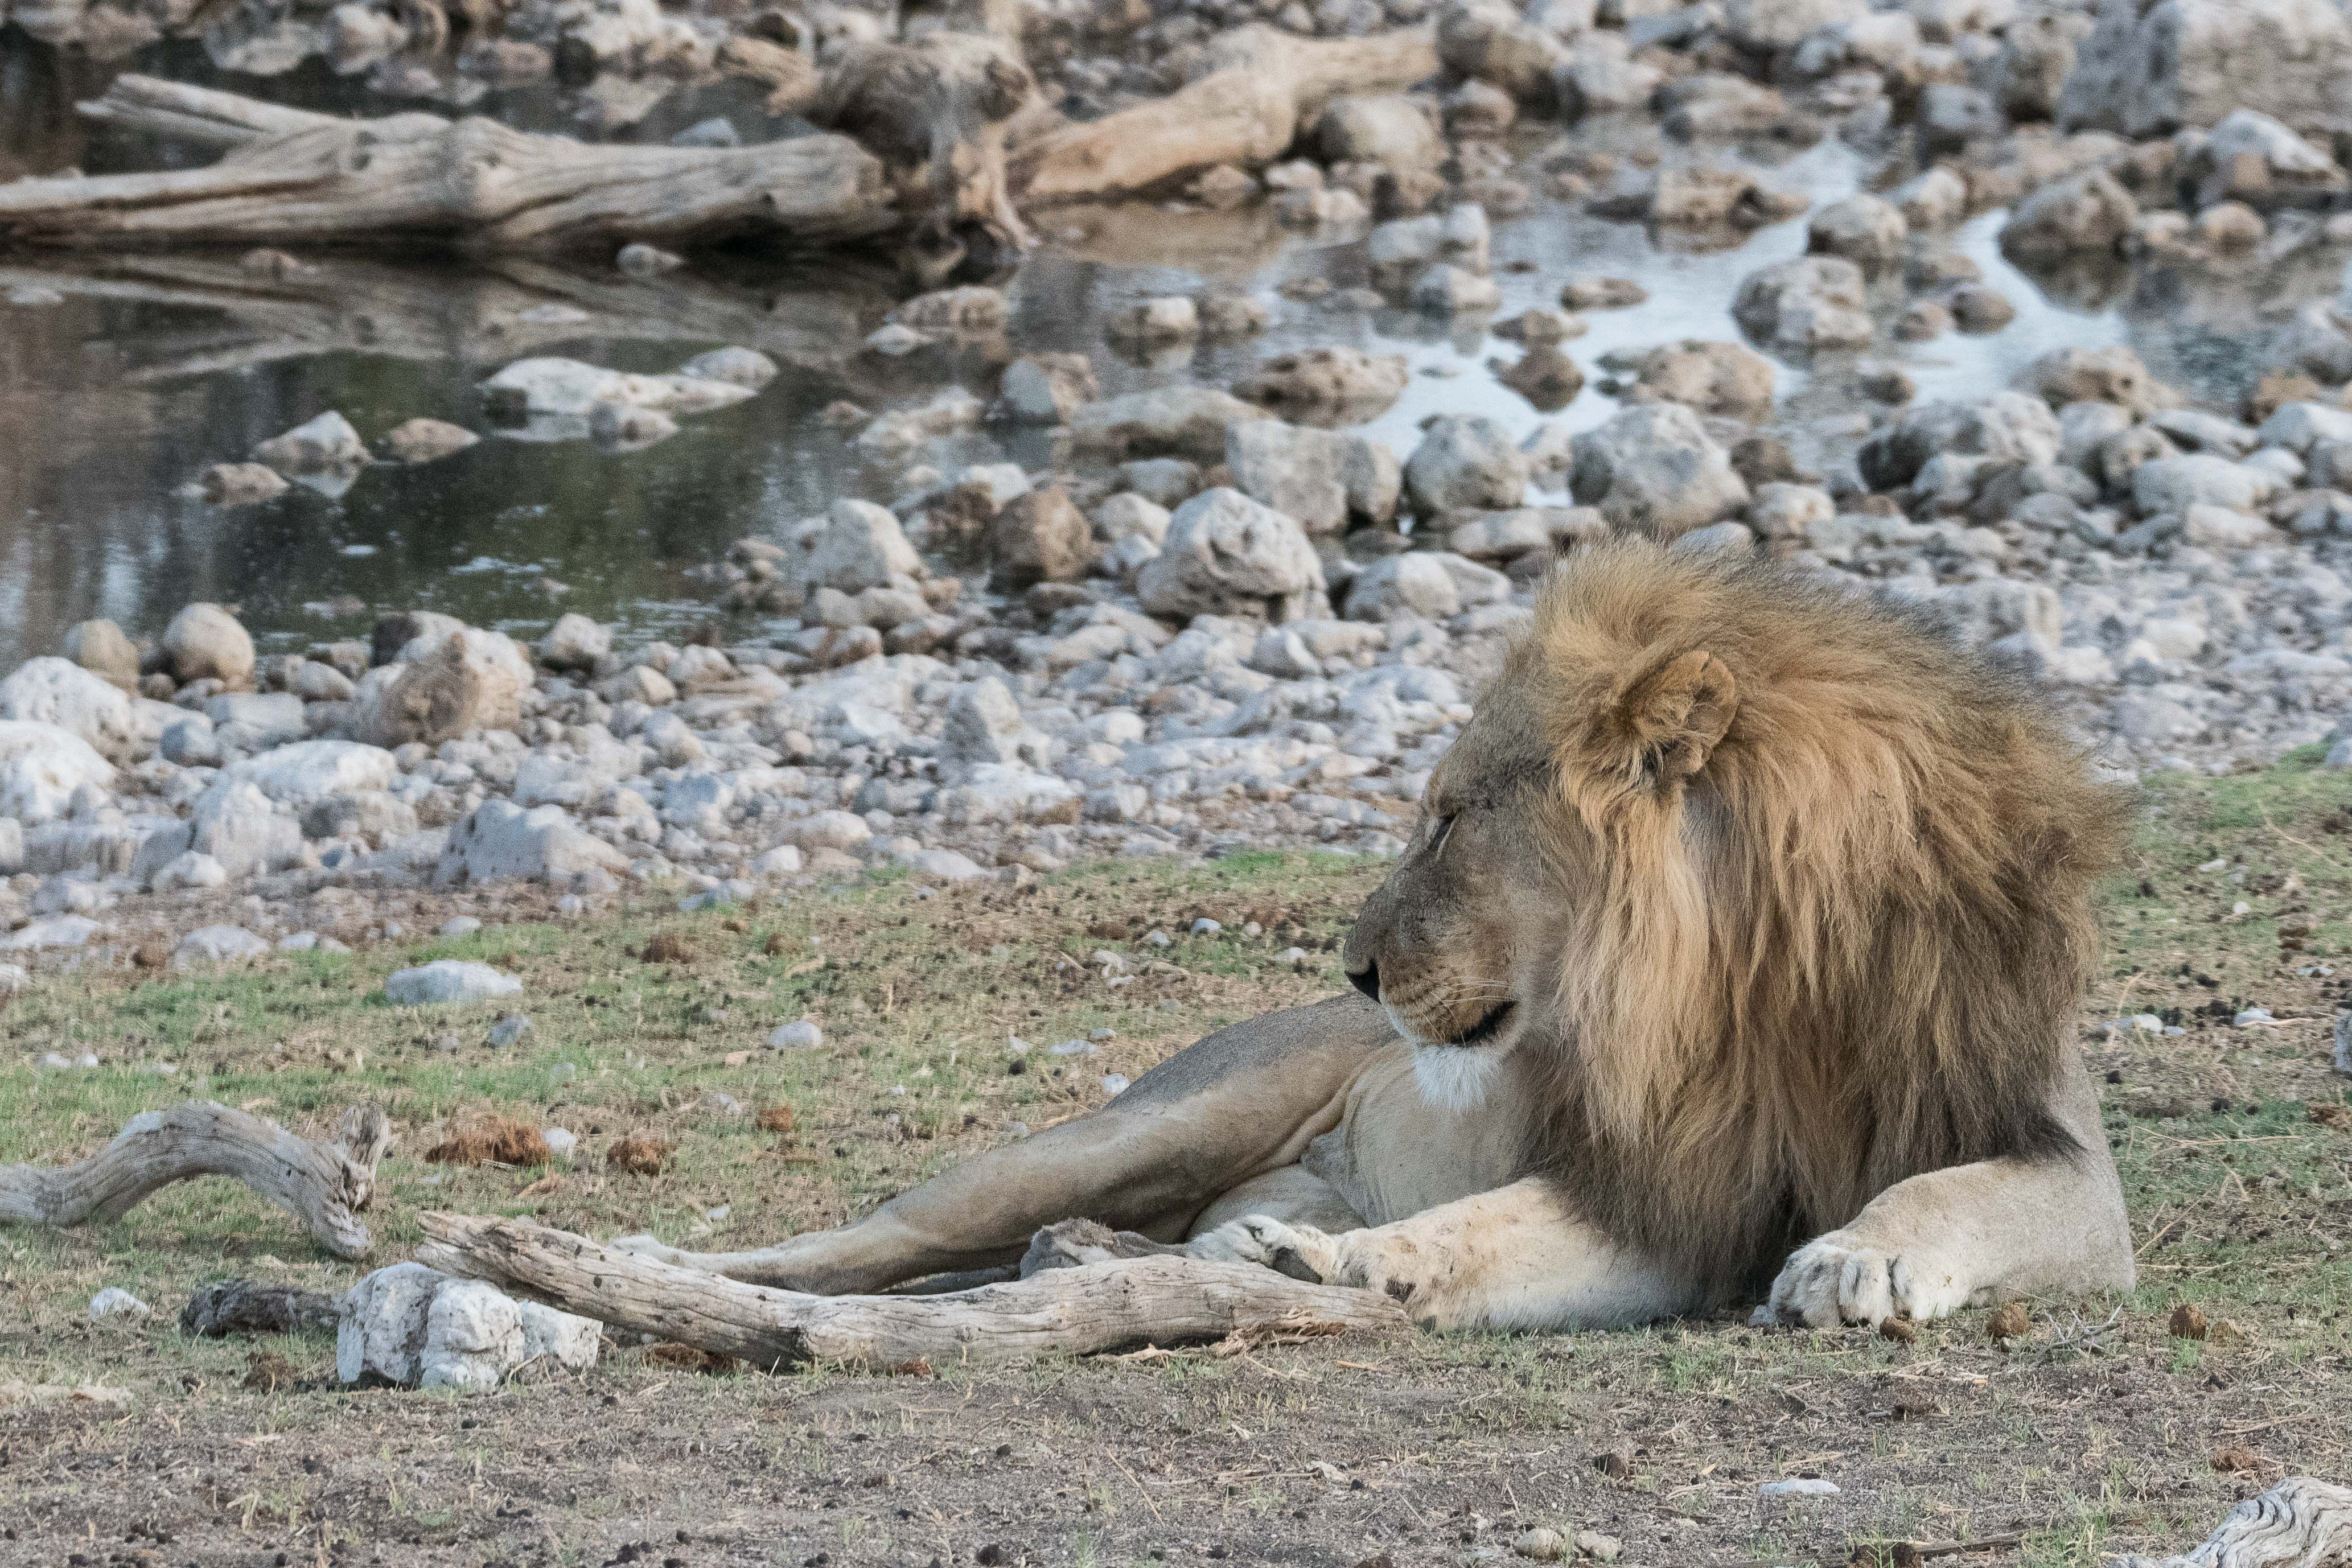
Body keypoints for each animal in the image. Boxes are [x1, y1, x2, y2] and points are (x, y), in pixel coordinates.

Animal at [620, 543, 2135, 1335]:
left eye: (1450, 819)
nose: (1348, 970)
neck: (1760, 978)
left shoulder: (2049, 1161)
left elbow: (1952, 1189)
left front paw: (1853, 1255)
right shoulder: (1657, 1179)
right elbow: (1484, 1218)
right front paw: (1334, 1261)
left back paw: (1133, 1262)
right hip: (1130, 1130)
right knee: (850, 1249)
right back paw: (651, 1273)